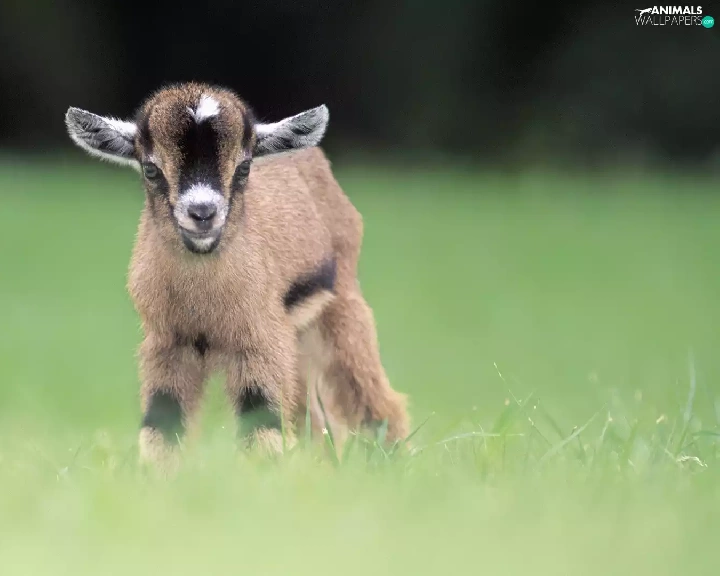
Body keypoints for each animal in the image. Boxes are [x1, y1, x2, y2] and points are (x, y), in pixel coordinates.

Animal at [64, 82, 409, 466]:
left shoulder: (259, 341)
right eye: (150, 170)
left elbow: (262, 422)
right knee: (313, 421)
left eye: (244, 167)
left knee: (375, 401)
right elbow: (162, 424)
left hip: (339, 309)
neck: (202, 302)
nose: (202, 213)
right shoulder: (168, 345)